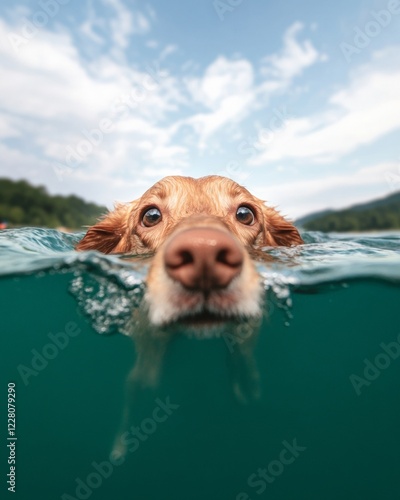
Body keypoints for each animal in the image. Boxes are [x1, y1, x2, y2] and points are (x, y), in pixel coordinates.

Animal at [75, 175, 302, 458]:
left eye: (245, 214)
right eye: (151, 216)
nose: (204, 251)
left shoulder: (249, 324)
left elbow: (244, 357)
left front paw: (247, 385)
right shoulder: (146, 338)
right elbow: (139, 381)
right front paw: (119, 444)